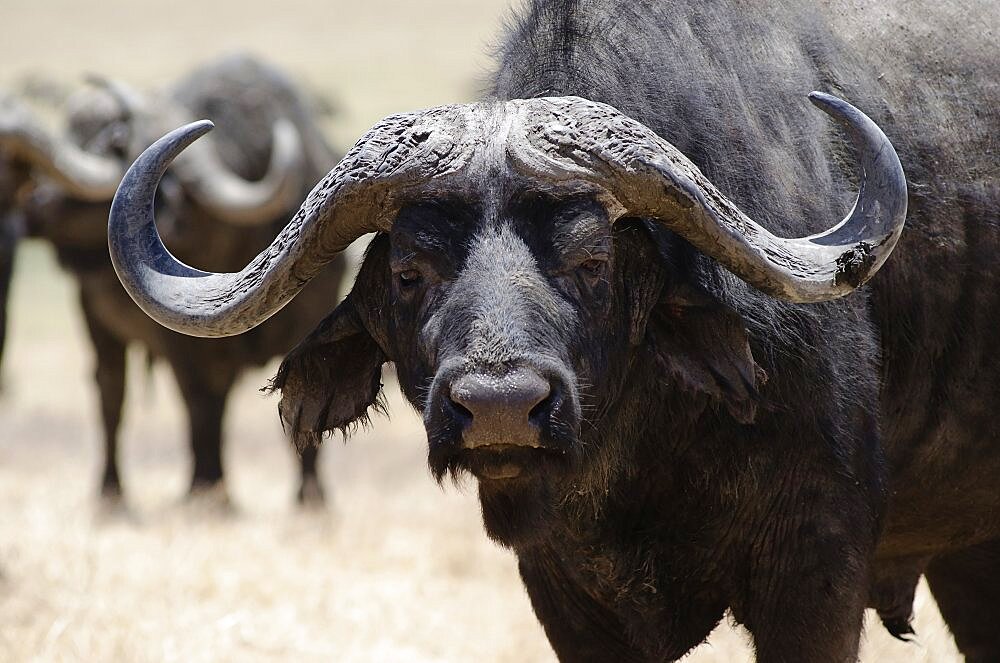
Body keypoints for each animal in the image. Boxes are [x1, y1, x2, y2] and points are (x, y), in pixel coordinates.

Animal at [0, 55, 344, 504]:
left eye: (109, 144)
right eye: (81, 137)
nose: (34, 200)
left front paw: (312, 496)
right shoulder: (184, 346)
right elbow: (200, 403)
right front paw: (207, 489)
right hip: (97, 323)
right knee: (111, 394)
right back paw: (112, 493)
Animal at [105, 1, 996, 663]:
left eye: (591, 261)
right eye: (410, 271)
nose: (500, 406)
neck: (644, 449)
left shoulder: (814, 572)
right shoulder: (563, 591)